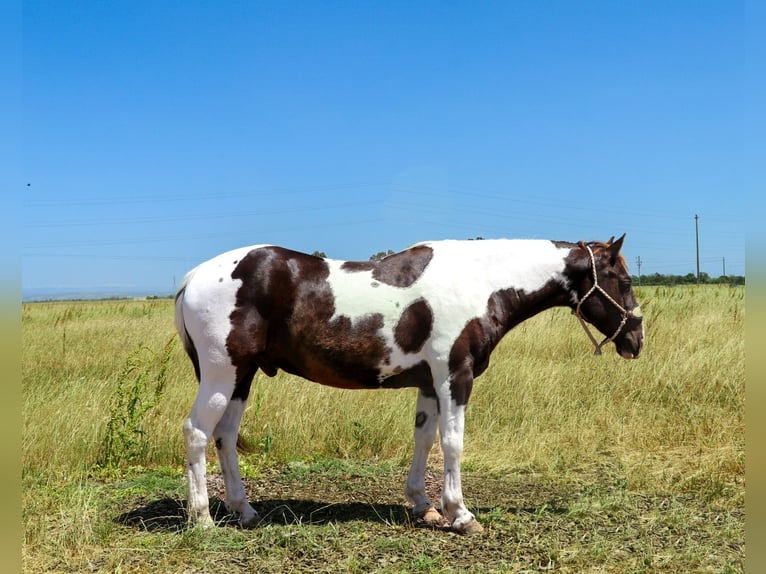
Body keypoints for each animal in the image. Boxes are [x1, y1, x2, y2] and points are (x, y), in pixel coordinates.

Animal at [176, 233, 648, 536]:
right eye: (623, 281)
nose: (636, 340)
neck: (481, 282)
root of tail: (192, 277)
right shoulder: (455, 376)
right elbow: (453, 442)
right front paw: (461, 514)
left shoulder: (429, 383)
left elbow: (424, 438)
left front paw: (424, 505)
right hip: (222, 373)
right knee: (198, 432)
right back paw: (202, 519)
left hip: (243, 376)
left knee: (226, 436)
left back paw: (245, 511)